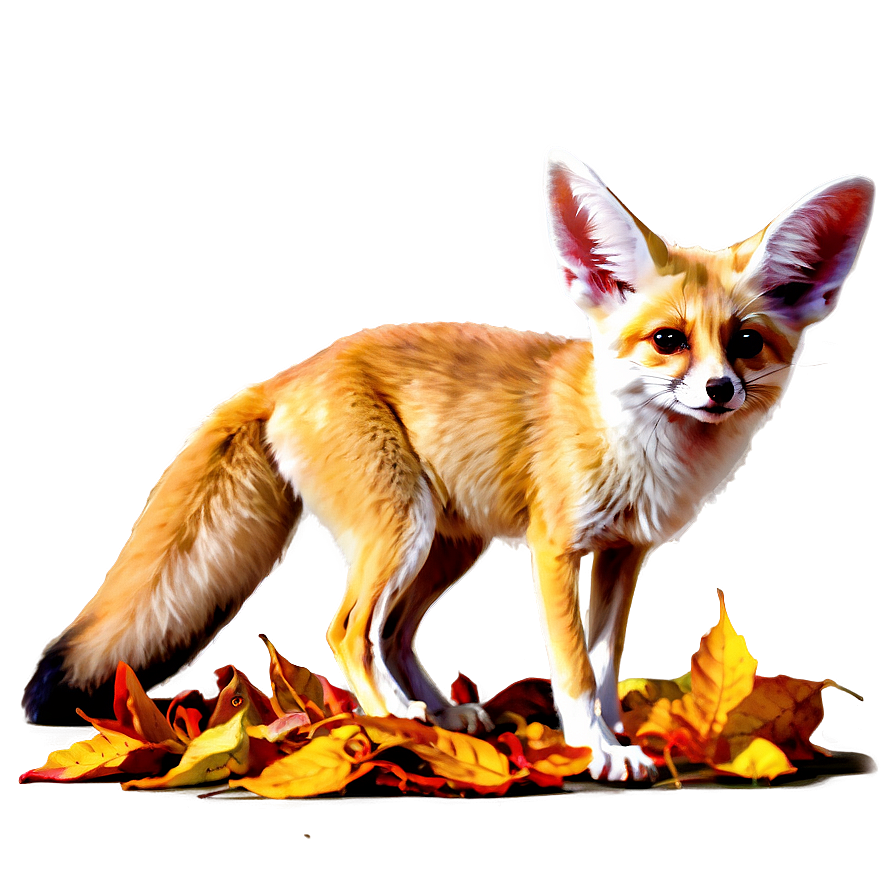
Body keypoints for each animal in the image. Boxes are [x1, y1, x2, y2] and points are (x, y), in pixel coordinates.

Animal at [23, 147, 873, 781]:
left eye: (746, 343)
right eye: (669, 341)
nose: (720, 391)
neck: (640, 453)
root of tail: (289, 373)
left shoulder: (622, 556)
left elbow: (603, 664)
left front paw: (614, 734)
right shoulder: (557, 550)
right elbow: (570, 667)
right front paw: (595, 749)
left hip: (446, 546)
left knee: (396, 633)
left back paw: (443, 714)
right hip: (403, 530)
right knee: (347, 629)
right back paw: (391, 720)